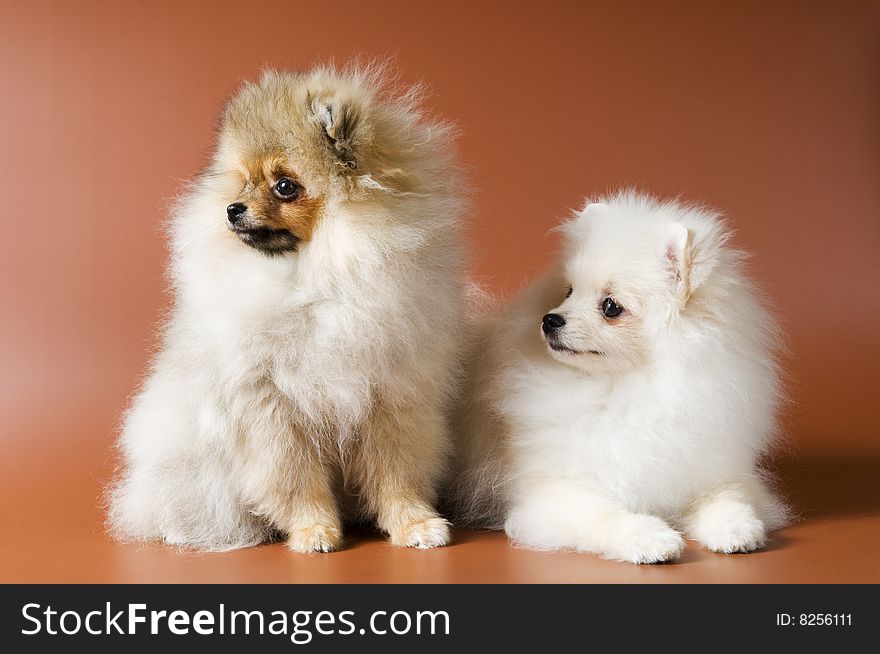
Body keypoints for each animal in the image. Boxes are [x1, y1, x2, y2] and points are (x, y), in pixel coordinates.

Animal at [110, 68, 468, 552]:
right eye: (243, 182)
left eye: (285, 186)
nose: (232, 209)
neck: (314, 281)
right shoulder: (271, 406)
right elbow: (294, 476)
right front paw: (313, 529)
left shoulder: (391, 393)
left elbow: (397, 472)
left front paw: (415, 523)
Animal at [450, 191, 788, 564]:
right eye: (569, 292)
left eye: (611, 307)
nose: (550, 320)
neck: (627, 388)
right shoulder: (557, 492)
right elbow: (605, 517)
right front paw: (651, 537)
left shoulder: (709, 470)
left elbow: (728, 497)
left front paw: (736, 529)